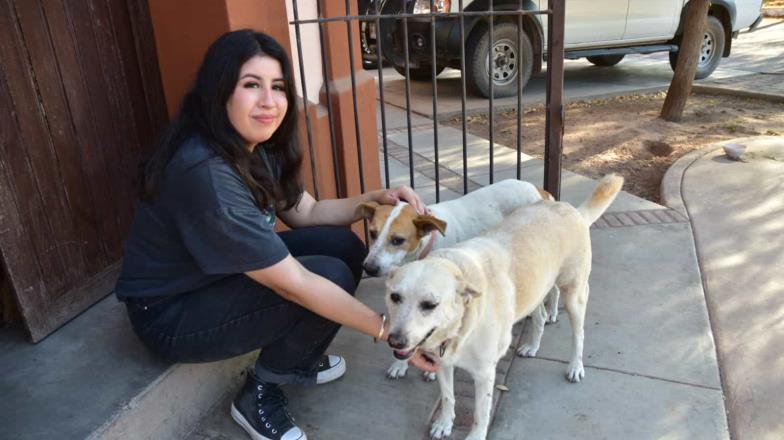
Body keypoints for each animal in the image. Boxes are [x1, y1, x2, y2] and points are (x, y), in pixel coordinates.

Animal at [356, 180, 556, 380]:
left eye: (397, 240)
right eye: (372, 233)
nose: (369, 268)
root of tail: (537, 189)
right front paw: (400, 364)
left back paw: (542, 329)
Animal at [382, 174, 620, 438]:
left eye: (430, 304)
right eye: (395, 297)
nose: (395, 341)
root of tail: (571, 209)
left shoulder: (485, 373)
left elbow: (480, 414)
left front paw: (475, 435)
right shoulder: (443, 363)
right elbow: (447, 397)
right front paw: (444, 424)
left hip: (574, 296)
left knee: (578, 335)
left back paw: (575, 366)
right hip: (534, 291)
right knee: (540, 317)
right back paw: (533, 346)